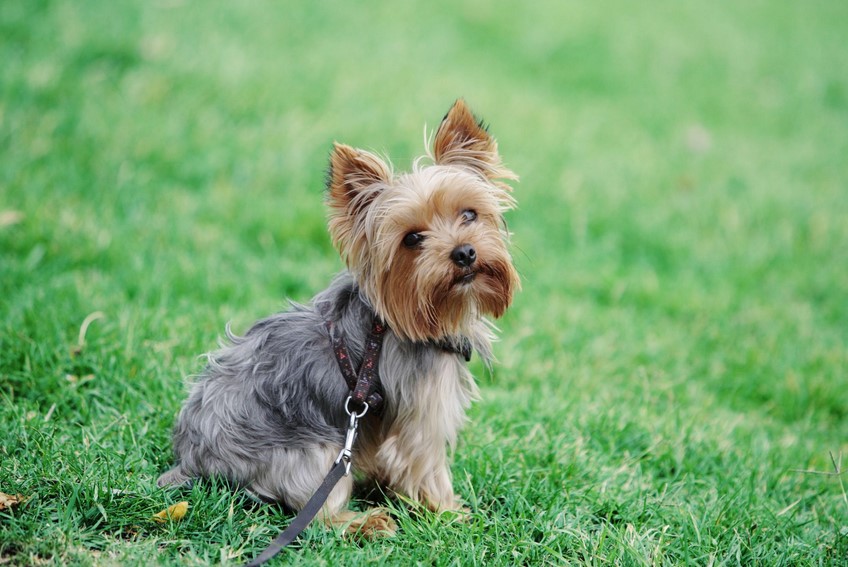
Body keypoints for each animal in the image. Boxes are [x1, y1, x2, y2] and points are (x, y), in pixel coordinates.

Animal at [157, 100, 520, 540]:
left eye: (469, 214)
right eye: (412, 239)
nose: (464, 253)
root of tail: (193, 459)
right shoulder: (422, 414)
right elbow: (427, 466)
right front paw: (450, 513)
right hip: (315, 451)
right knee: (318, 514)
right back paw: (367, 521)